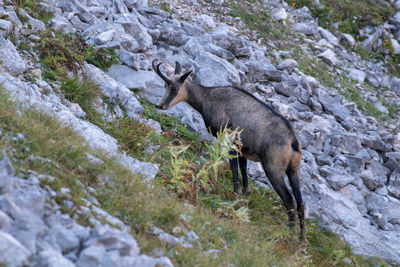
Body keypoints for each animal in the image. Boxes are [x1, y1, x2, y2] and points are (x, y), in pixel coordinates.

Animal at [152, 59, 304, 240]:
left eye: (174, 88)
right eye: (165, 85)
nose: (161, 105)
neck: (208, 97)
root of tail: (293, 140)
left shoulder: (229, 138)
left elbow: (234, 166)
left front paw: (236, 192)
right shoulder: (243, 148)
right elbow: (243, 168)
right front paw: (246, 192)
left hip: (273, 169)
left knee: (290, 200)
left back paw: (290, 232)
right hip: (293, 170)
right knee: (301, 203)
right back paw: (302, 239)